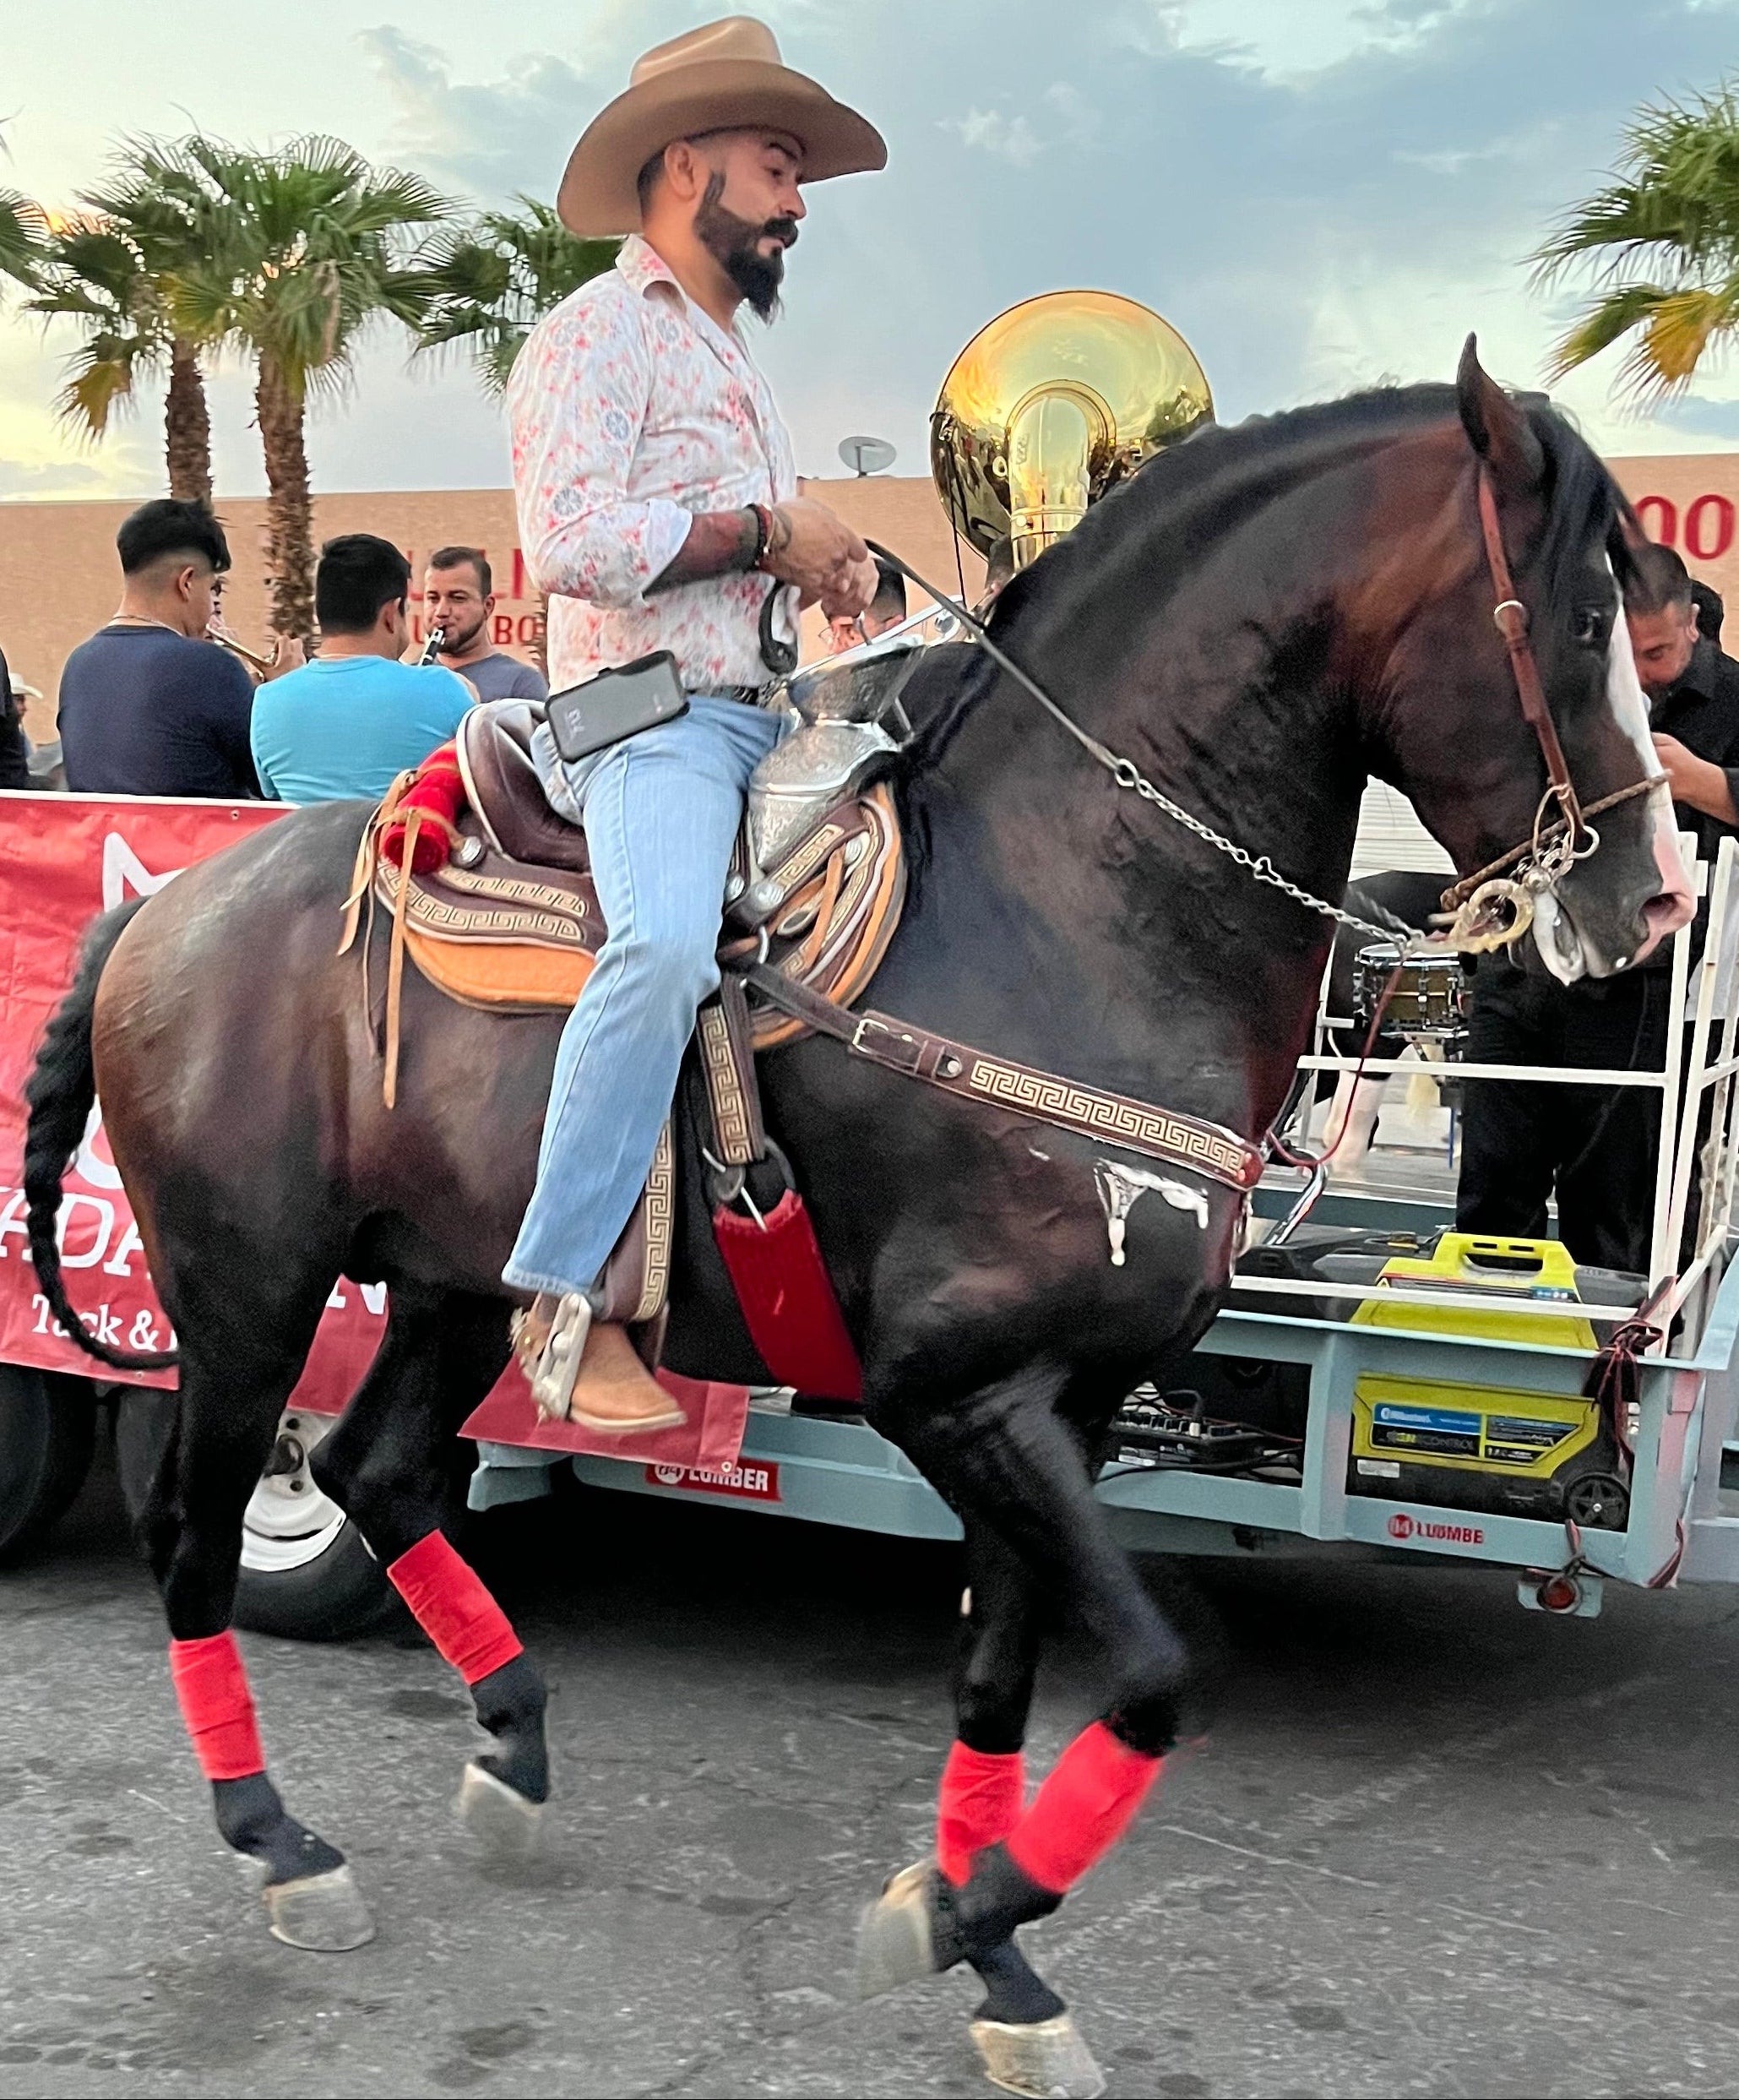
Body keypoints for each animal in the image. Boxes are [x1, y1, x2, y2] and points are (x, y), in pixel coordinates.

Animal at [21, 345, 1691, 2098]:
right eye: (1586, 613)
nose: (1651, 897)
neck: (1061, 912)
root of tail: (161, 908)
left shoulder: (1062, 1401)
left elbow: (1000, 1679)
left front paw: (989, 1949)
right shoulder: (951, 1392)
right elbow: (1158, 1673)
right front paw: (966, 1920)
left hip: (449, 1284)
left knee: (376, 1468)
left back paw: (512, 1746)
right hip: (248, 1298)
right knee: (201, 1532)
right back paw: (280, 1841)